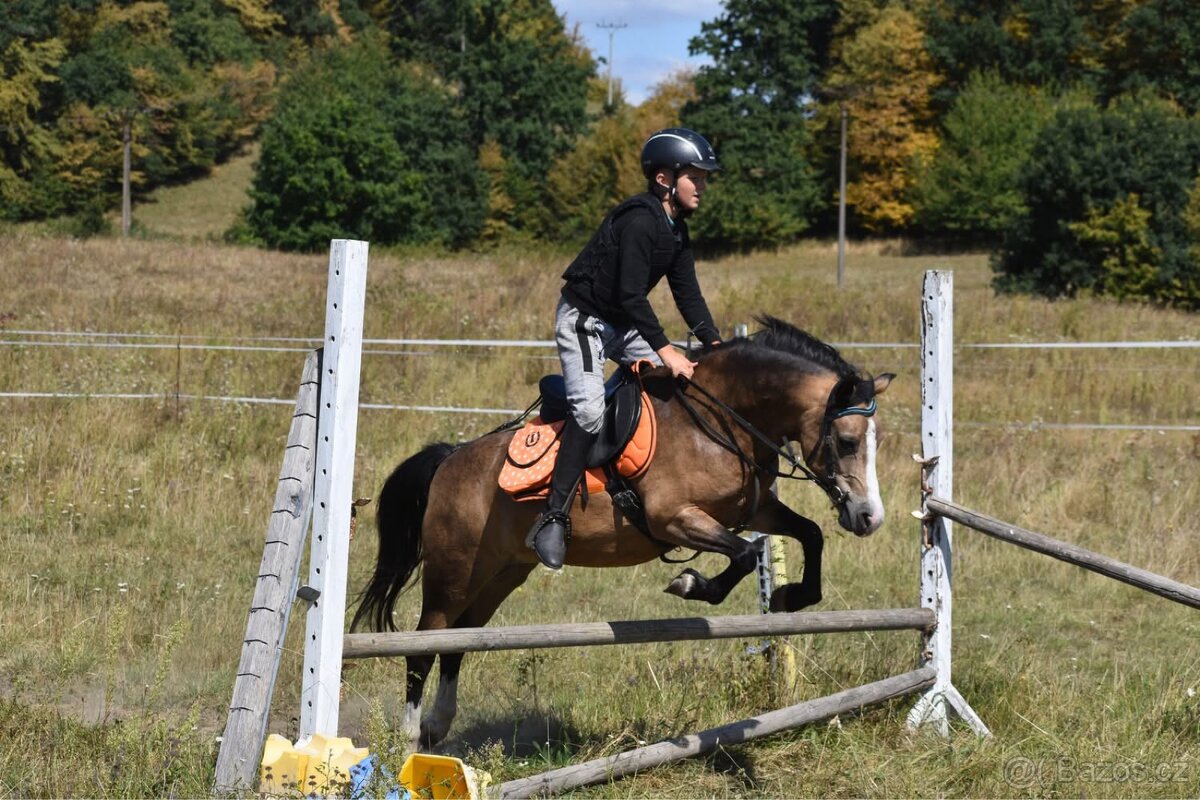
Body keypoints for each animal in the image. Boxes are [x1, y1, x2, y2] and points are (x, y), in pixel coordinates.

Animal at [351, 315, 894, 751]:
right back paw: (409, 735)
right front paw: (691, 584)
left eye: (876, 442)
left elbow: (811, 535)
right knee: (425, 641)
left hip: (501, 573)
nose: (870, 518)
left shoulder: (756, 509)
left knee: (459, 640)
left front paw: (789, 597)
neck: (721, 418)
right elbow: (740, 557)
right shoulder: (674, 517)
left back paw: (437, 727)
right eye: (847, 442)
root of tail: (448, 459)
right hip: (454, 570)